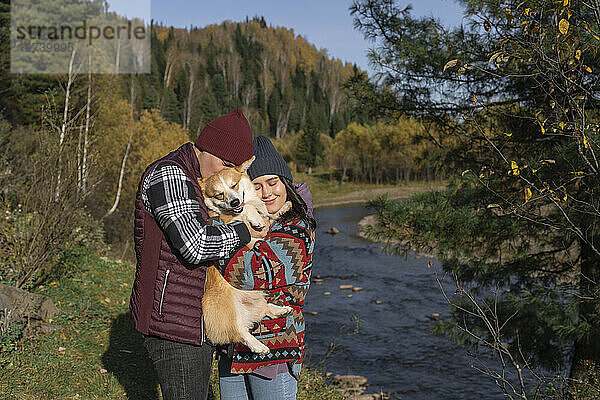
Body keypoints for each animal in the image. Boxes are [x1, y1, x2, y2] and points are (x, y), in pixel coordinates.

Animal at [199, 156, 292, 354]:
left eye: (234, 185)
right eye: (219, 195)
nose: (234, 202)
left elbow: (270, 215)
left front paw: (283, 207)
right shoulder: (229, 224)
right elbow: (248, 211)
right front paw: (255, 219)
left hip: (257, 301)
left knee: (264, 310)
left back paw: (281, 310)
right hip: (229, 308)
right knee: (238, 333)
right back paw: (259, 346)